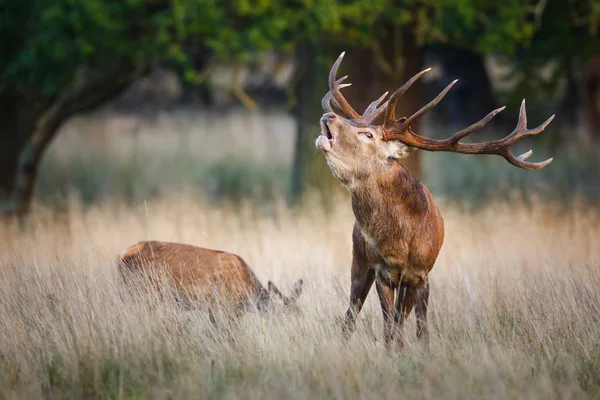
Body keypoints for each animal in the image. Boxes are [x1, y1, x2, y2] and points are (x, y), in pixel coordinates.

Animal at [316, 52, 556, 350]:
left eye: (368, 135)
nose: (329, 115)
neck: (400, 241)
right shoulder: (383, 270)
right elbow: (388, 330)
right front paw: (393, 353)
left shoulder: (421, 275)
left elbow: (421, 331)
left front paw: (420, 353)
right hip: (359, 259)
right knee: (351, 316)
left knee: (396, 319)